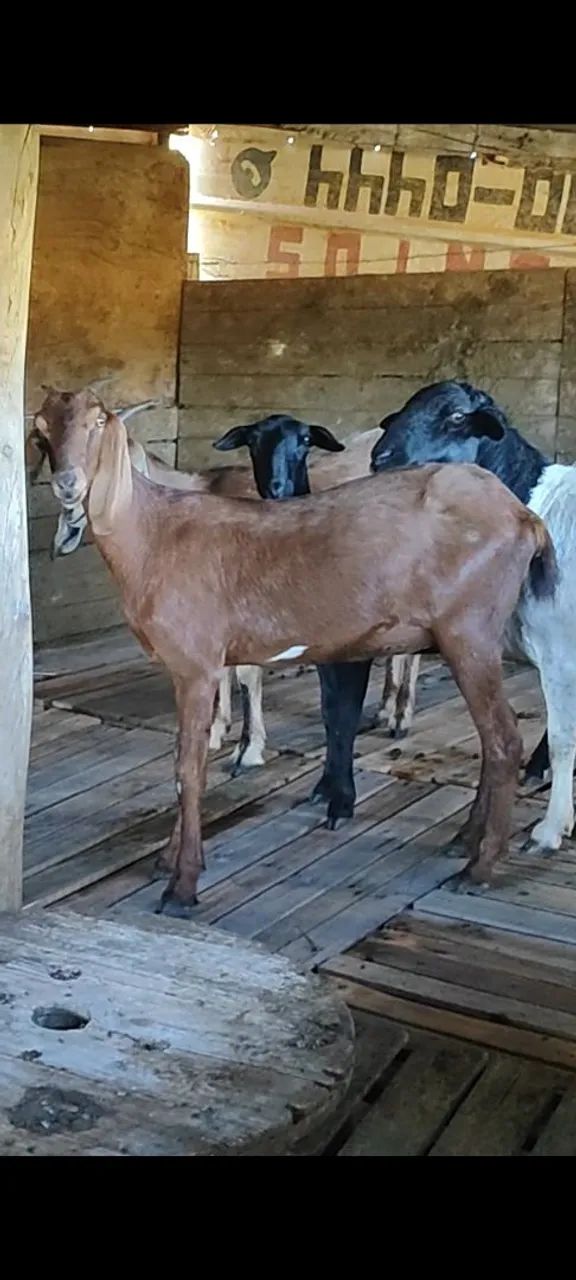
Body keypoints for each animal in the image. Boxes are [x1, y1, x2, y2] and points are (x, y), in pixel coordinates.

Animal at [28, 386, 556, 914]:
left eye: (99, 422)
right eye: (40, 431)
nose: (68, 485)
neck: (155, 535)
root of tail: (525, 517)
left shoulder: (196, 665)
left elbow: (188, 769)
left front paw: (181, 885)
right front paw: (170, 861)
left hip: (470, 632)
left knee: (505, 741)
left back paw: (478, 868)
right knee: (494, 741)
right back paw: (466, 841)